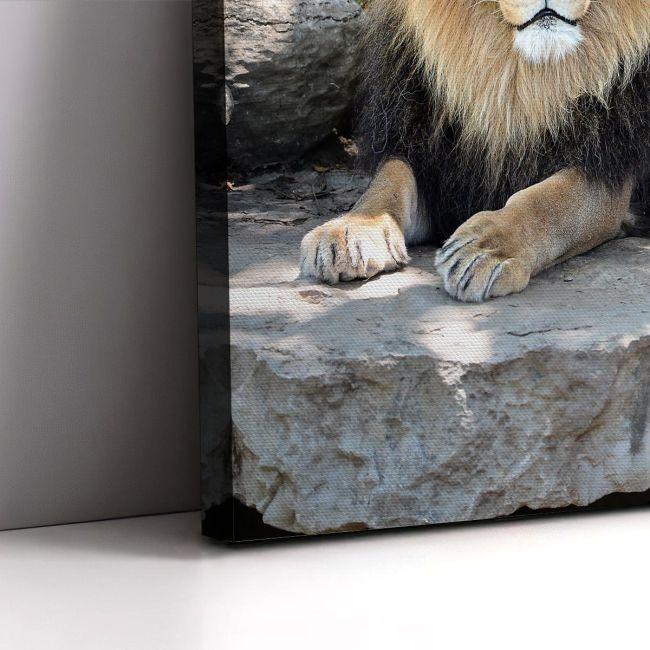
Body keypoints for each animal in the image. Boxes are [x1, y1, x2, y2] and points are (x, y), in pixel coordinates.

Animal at [300, 0, 650, 302]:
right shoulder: (428, 156)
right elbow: (387, 183)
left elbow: (548, 202)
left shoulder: (608, 166)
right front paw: (348, 231)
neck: (516, 81)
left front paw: (486, 249)